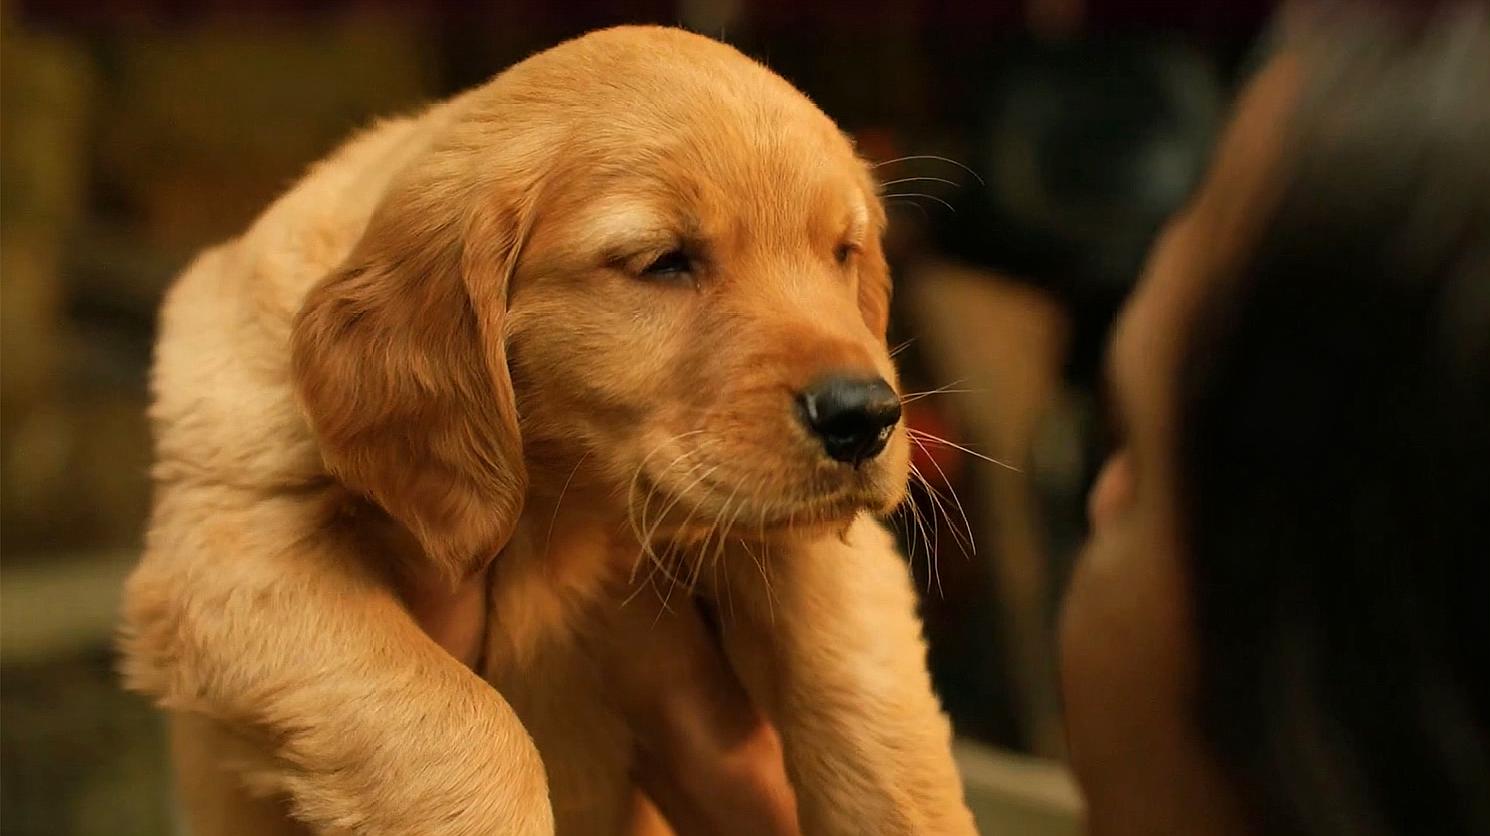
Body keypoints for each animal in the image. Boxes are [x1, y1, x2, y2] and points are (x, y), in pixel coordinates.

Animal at [122, 26, 971, 834]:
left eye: (842, 254)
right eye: (664, 262)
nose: (866, 417)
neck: (561, 503)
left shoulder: (813, 547)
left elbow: (871, 704)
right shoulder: (230, 544)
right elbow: (462, 723)